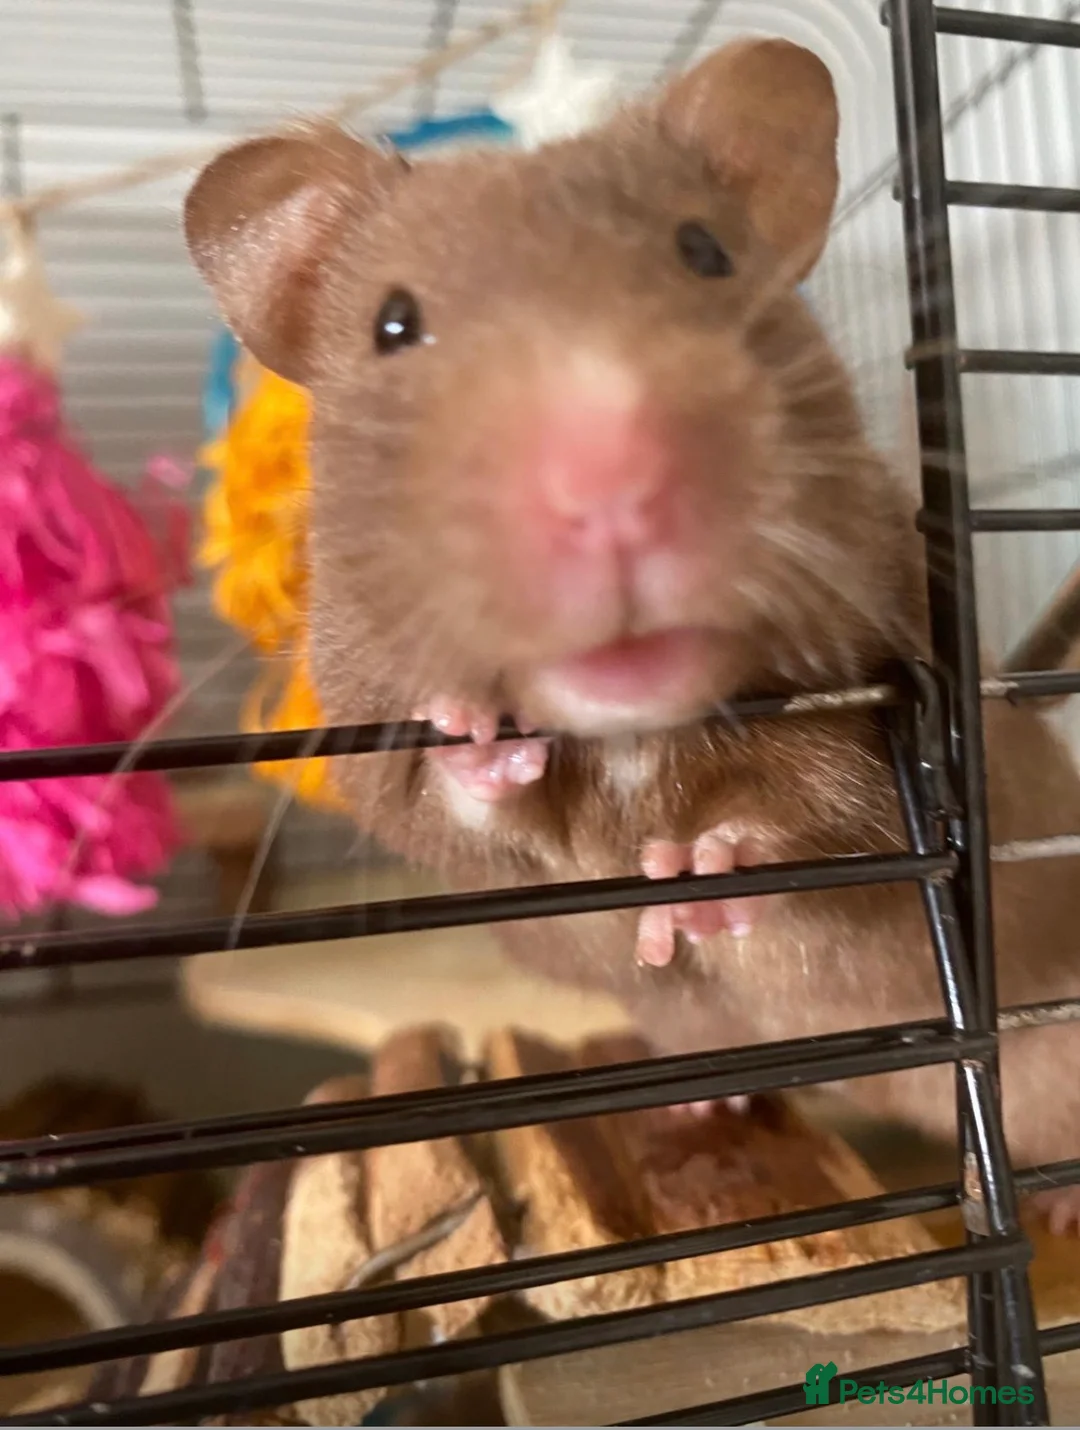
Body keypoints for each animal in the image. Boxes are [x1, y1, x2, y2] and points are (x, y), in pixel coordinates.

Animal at [185, 38, 1080, 1234]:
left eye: (705, 253)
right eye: (393, 323)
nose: (608, 483)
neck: (633, 737)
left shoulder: (886, 705)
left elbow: (826, 818)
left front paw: (688, 873)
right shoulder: (375, 743)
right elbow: (445, 804)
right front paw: (482, 741)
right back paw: (699, 1109)